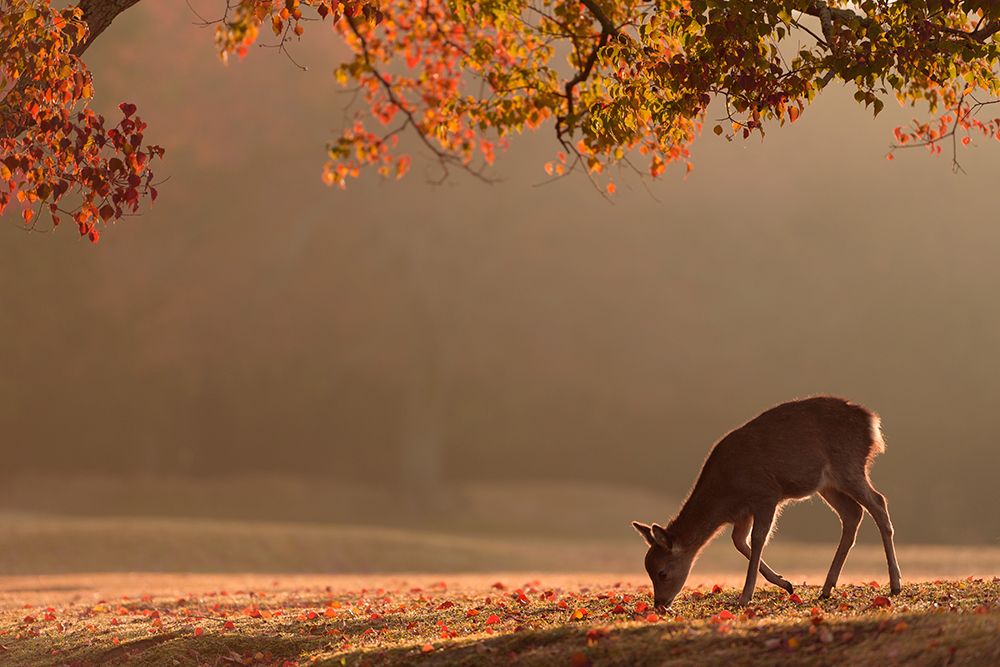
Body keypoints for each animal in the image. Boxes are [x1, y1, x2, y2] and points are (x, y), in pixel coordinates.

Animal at [636, 396, 904, 612]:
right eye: (648, 569)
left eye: (662, 572)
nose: (659, 604)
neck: (726, 493)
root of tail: (872, 422)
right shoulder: (742, 512)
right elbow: (739, 541)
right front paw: (786, 584)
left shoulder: (766, 494)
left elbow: (758, 539)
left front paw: (745, 597)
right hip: (828, 485)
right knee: (852, 514)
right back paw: (827, 588)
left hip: (849, 466)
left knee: (878, 503)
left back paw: (895, 584)